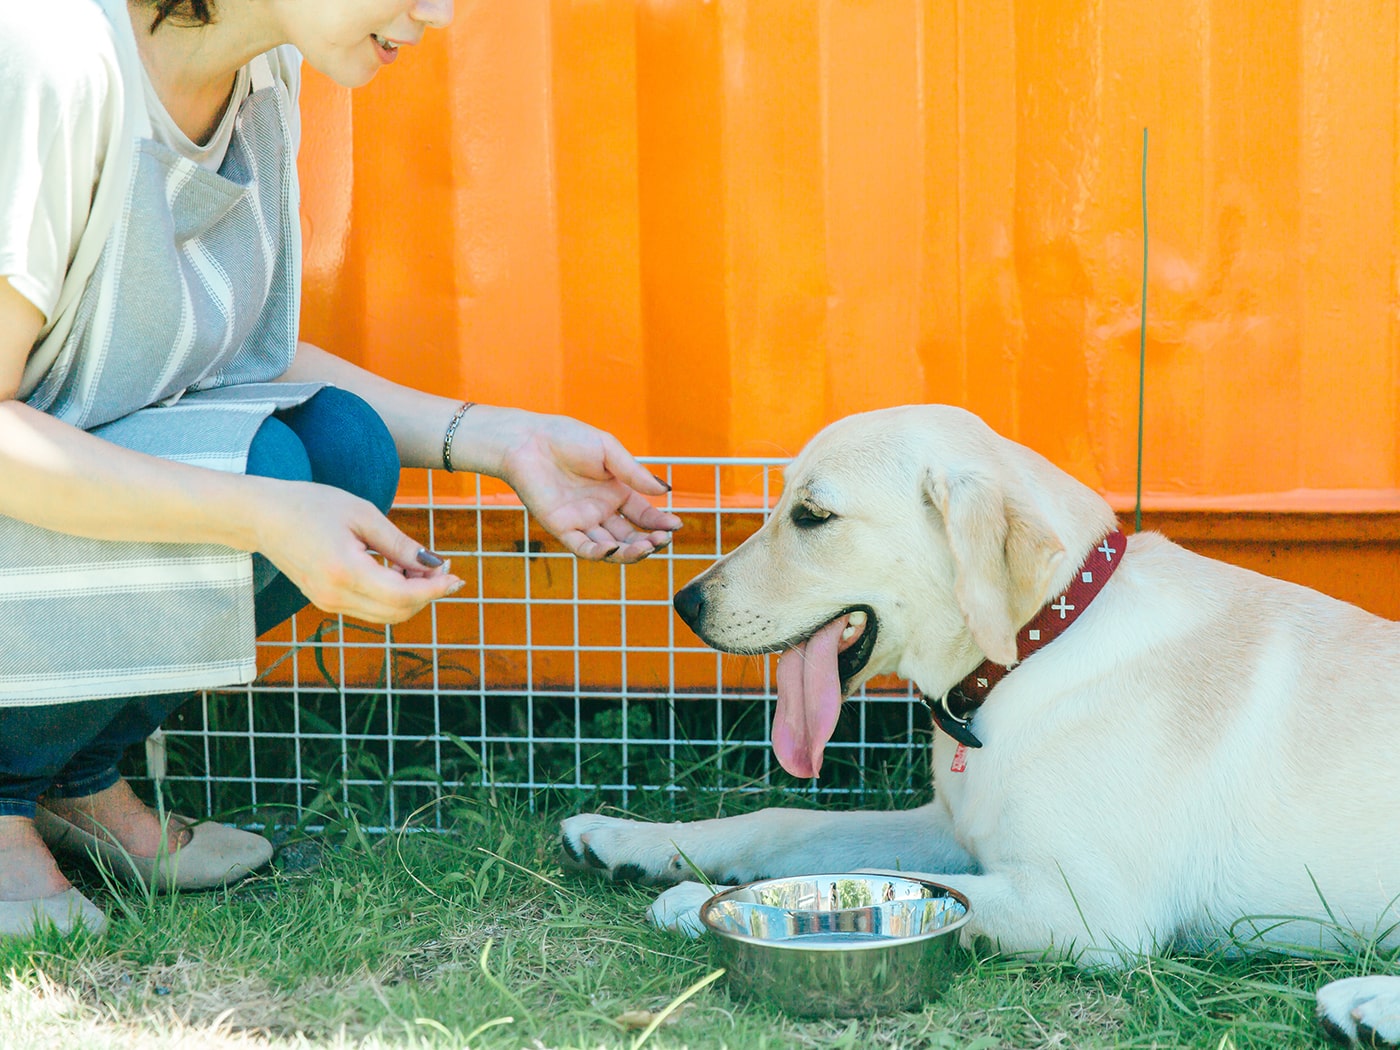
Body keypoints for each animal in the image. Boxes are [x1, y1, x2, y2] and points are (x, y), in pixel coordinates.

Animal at [560, 406, 1400, 1047]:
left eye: (812, 515)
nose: (685, 604)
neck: (1037, 650)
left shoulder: (1092, 912)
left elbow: (926, 893)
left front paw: (703, 904)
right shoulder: (951, 824)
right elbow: (785, 822)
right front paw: (630, 840)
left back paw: (1366, 1002)